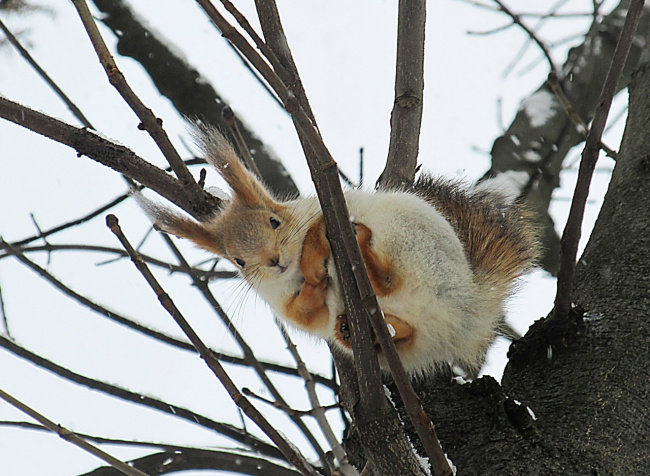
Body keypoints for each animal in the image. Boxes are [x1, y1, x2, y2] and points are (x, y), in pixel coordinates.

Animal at [140, 125, 536, 376]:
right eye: (238, 261)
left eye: (274, 222)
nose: (274, 262)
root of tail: (469, 310)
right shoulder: (286, 306)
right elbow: (307, 312)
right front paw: (313, 284)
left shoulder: (328, 205)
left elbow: (316, 232)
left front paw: (314, 247)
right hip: (409, 329)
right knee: (405, 332)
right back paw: (363, 329)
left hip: (412, 242)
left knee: (389, 279)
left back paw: (363, 253)